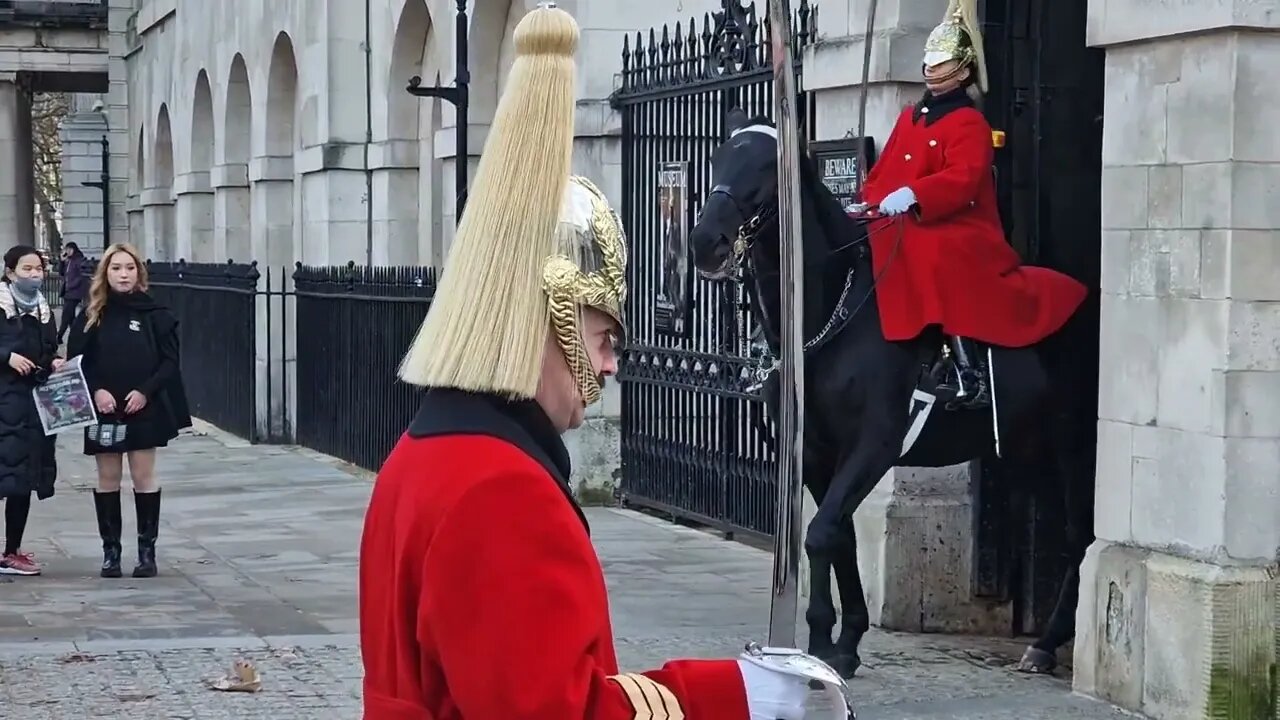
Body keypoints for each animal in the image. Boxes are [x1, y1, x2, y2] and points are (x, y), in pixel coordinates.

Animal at [686, 109, 1095, 676]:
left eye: (769, 167)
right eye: (719, 156)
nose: (706, 242)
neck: (829, 315)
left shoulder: (874, 444)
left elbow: (822, 534)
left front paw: (820, 645)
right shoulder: (816, 454)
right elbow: (839, 537)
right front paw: (845, 640)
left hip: (1073, 446)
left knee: (1080, 537)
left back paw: (1047, 642)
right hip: (1024, 450)